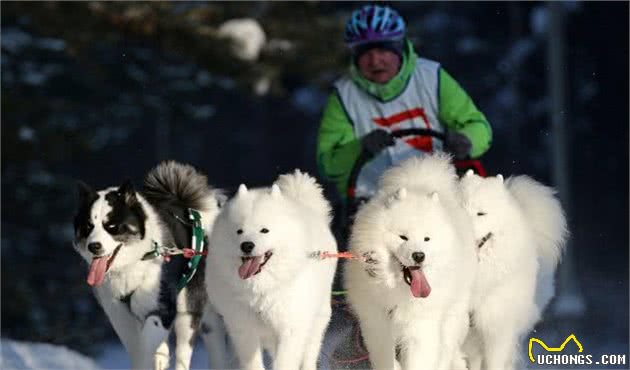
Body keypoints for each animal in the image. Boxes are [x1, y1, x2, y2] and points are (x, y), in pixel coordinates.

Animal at [74, 161, 231, 370]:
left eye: (112, 227)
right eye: (88, 227)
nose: (94, 246)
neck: (134, 262)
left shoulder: (161, 309)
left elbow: (146, 345)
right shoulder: (118, 314)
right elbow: (138, 347)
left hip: (188, 308)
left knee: (185, 350)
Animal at [206, 171, 336, 370]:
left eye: (264, 230)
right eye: (239, 231)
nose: (247, 245)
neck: (260, 290)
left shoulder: (290, 328)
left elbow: (285, 362)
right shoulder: (244, 329)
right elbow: (253, 363)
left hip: (317, 317)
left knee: (310, 350)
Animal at [346, 153, 478, 370]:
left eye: (427, 239)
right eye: (403, 237)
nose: (419, 255)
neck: (397, 291)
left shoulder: (421, 327)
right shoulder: (377, 325)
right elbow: (384, 358)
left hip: (453, 315)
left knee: (448, 349)